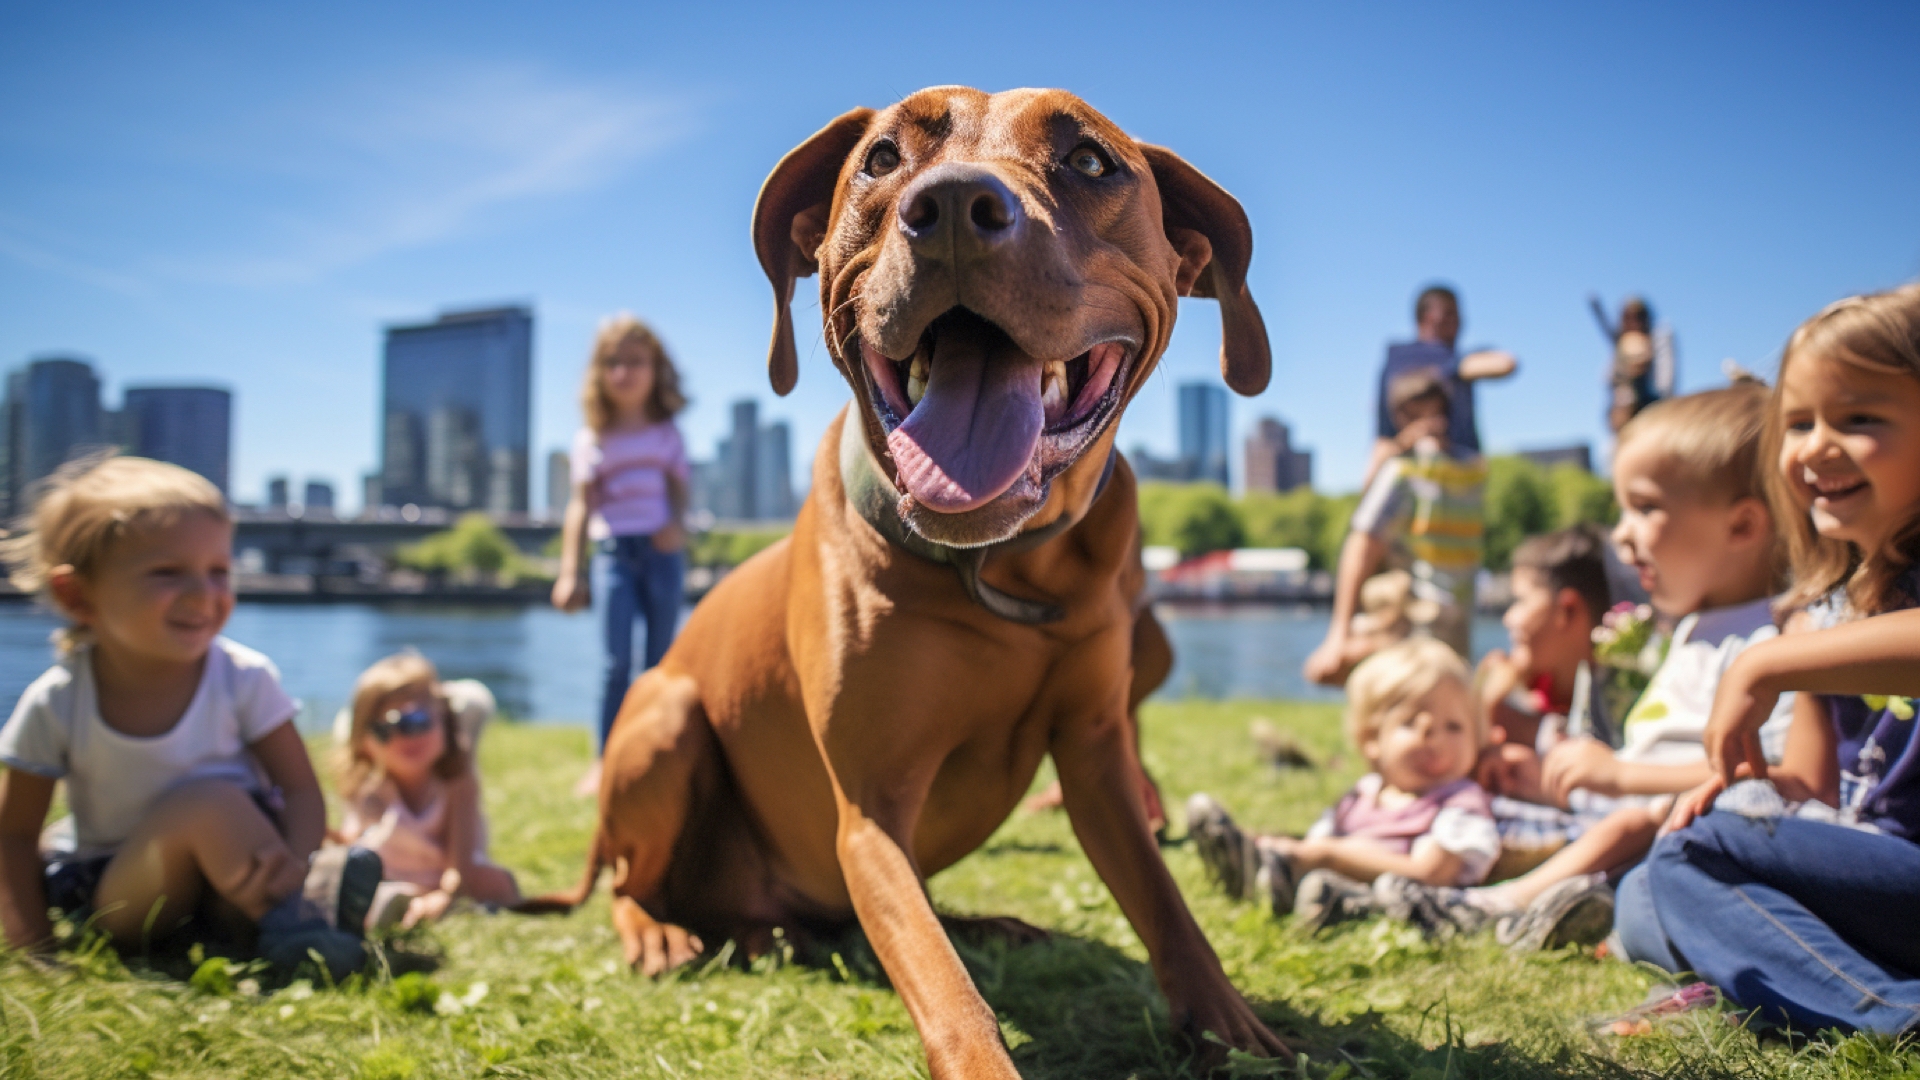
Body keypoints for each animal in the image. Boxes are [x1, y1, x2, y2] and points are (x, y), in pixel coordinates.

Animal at [541, 88, 1282, 1068]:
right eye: (882, 157)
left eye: (1090, 161)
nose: (956, 207)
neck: (1001, 569)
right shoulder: (870, 814)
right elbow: (943, 989)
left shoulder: (1098, 753)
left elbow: (1165, 903)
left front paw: (1239, 1027)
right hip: (665, 718)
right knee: (633, 881)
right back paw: (663, 932)